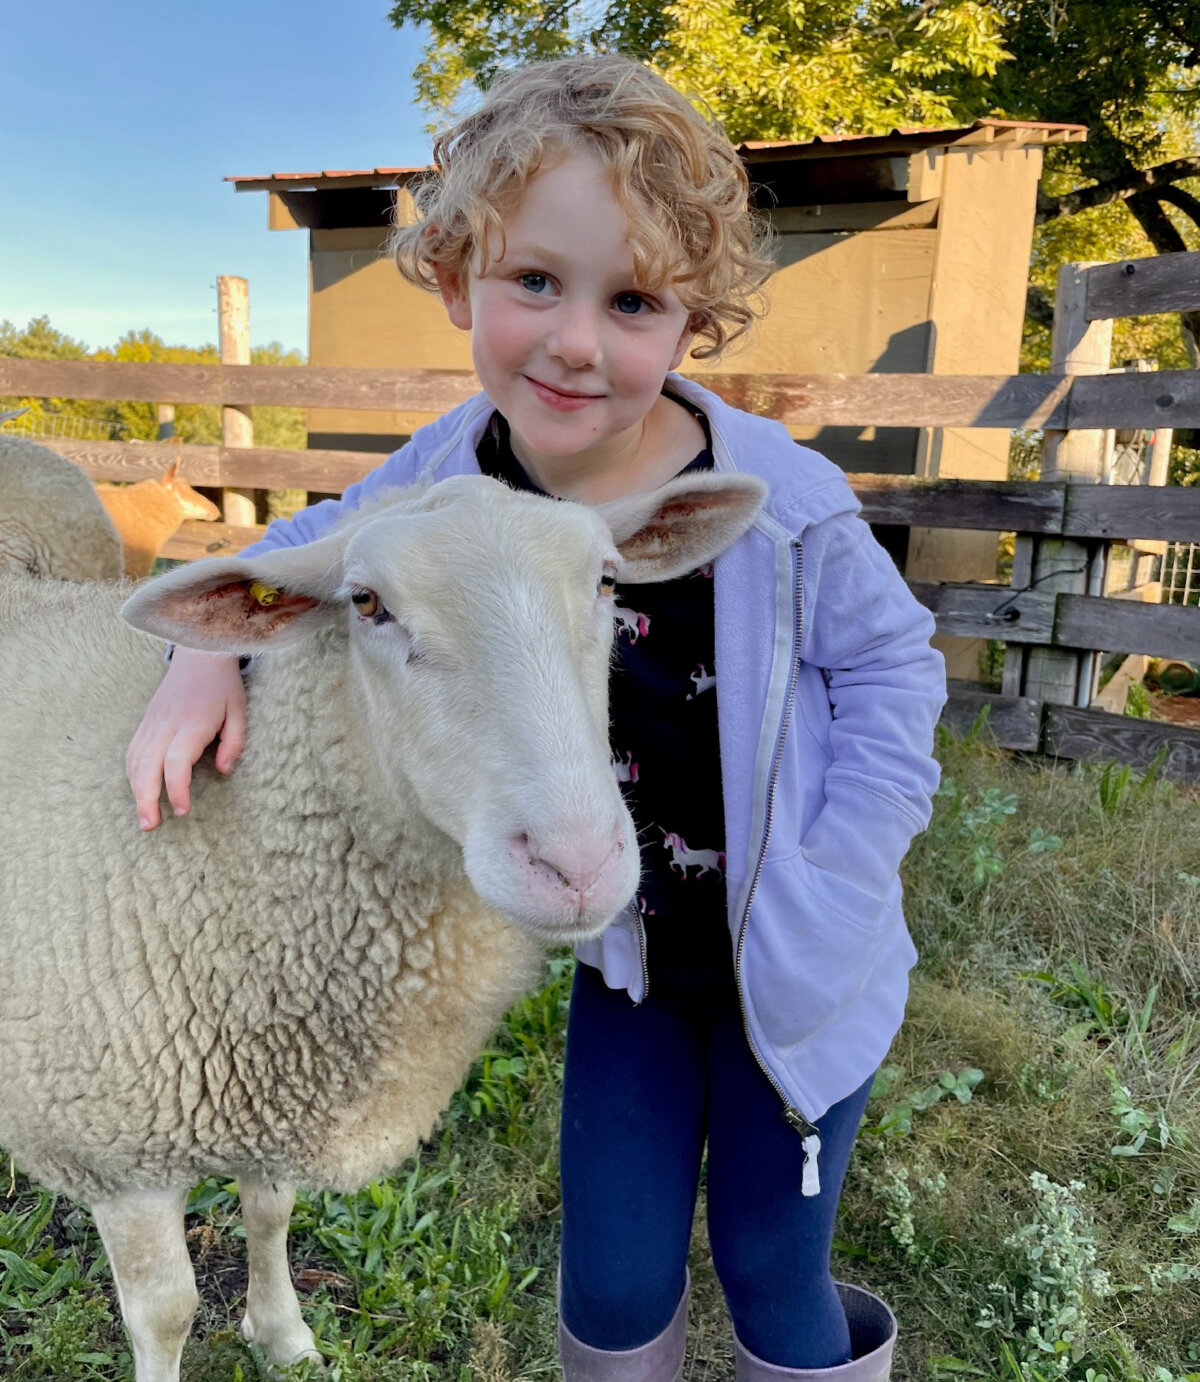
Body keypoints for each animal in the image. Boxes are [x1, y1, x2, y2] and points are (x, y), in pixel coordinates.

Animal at [0, 469, 764, 1382]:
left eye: (609, 582)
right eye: (366, 603)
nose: (577, 864)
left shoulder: (280, 1088)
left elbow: (271, 1212)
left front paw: (284, 1338)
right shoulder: (116, 1149)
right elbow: (165, 1312)